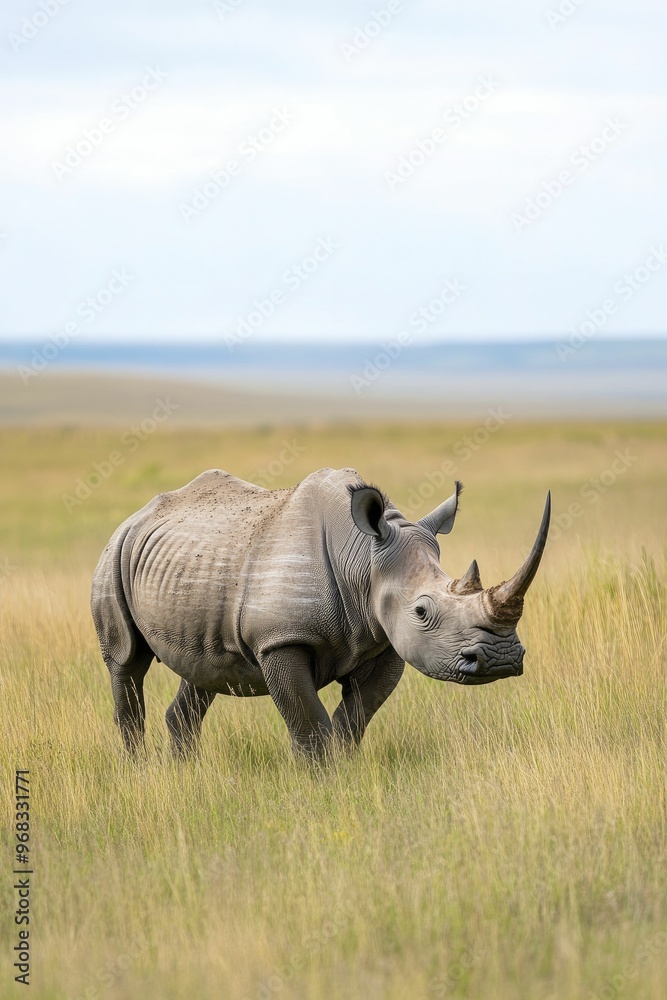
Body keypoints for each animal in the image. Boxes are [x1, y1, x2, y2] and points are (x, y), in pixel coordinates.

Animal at [91, 467, 550, 758]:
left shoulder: (383, 639)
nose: (502, 659)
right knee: (127, 661)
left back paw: (185, 773)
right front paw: (322, 785)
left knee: (204, 670)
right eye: (421, 611)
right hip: (114, 552)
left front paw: (344, 773)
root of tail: (136, 516)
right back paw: (139, 772)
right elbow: (310, 724)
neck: (364, 559)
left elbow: (354, 720)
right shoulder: (279, 641)